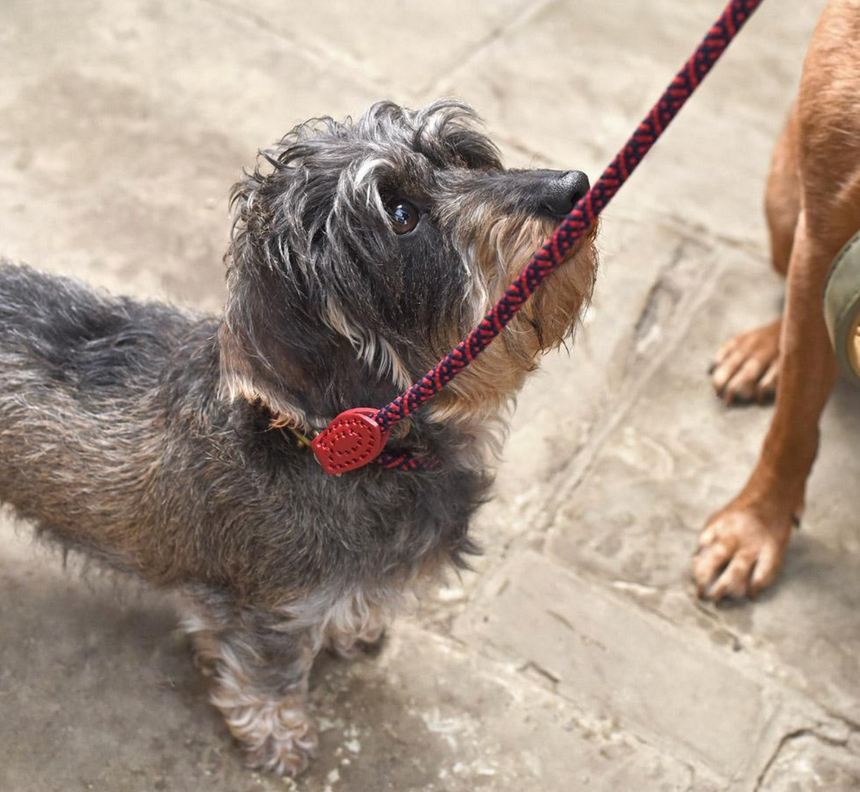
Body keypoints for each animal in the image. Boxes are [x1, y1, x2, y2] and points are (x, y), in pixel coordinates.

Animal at [0, 102, 596, 776]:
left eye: (465, 157)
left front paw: (356, 627)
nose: (573, 186)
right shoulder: (271, 611)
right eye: (401, 215)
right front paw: (277, 734)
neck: (361, 452)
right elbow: (270, 673)